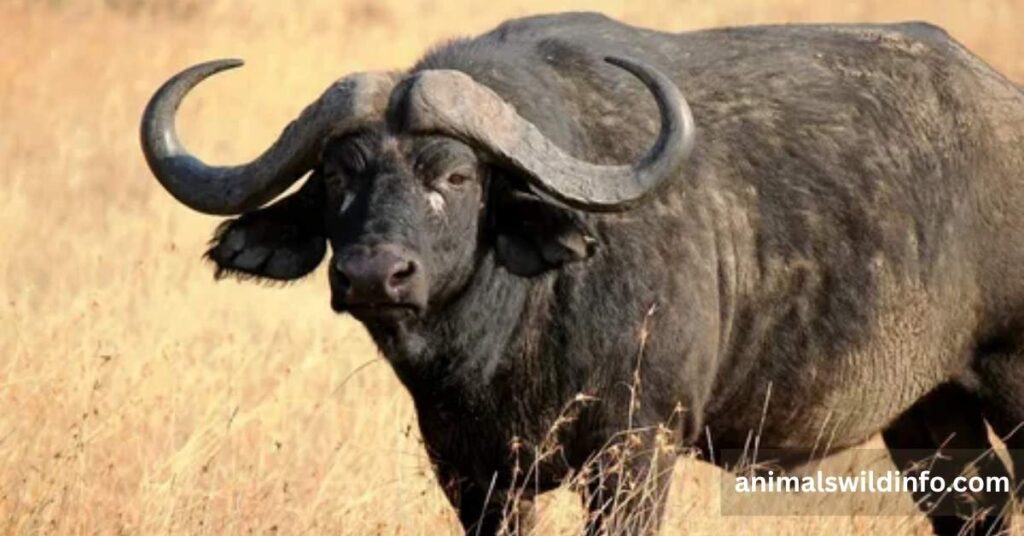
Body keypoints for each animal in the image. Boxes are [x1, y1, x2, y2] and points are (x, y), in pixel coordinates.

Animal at [141, 13, 1024, 535]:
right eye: (334, 177)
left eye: (456, 175)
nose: (372, 275)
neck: (509, 338)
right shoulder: (471, 469)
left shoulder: (635, 450)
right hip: (927, 411)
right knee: (976, 505)